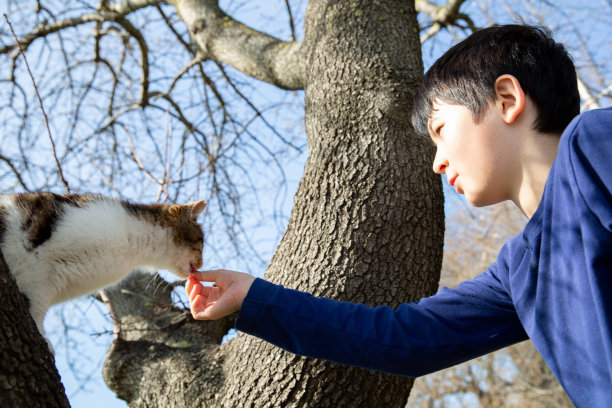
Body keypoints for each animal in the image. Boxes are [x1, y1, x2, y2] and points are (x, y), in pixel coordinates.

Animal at [0, 193, 206, 340]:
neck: (133, 247)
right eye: (201, 242)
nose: (202, 263)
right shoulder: (36, 272)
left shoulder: (48, 284)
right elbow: (35, 307)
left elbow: (38, 305)